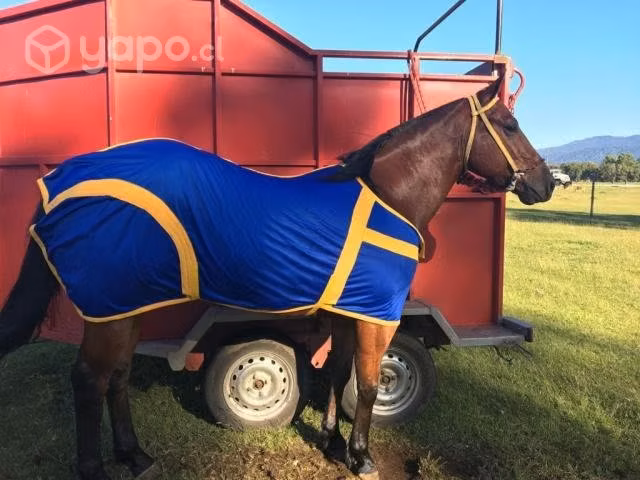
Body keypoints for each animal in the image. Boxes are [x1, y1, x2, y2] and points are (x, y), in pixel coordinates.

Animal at [0, 73, 554, 480]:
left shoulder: (348, 309)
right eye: (508, 123)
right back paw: (95, 468)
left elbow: (337, 373)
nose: (546, 183)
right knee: (89, 380)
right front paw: (361, 456)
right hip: (109, 312)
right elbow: (369, 384)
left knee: (115, 377)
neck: (387, 196)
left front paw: (331, 441)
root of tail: (58, 184)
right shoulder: (376, 315)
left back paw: (135, 456)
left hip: (125, 305)